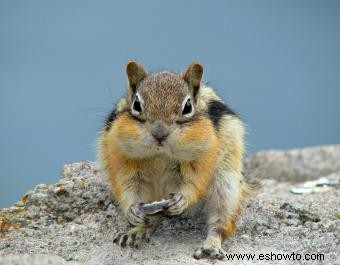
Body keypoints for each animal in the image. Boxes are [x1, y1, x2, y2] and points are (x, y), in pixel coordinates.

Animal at [97, 60, 254, 258]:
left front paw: (182, 200)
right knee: (152, 220)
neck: (160, 154)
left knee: (220, 222)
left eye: (187, 107)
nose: (159, 133)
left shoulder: (204, 155)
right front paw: (133, 211)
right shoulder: (121, 156)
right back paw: (136, 231)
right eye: (137, 105)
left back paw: (210, 245)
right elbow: (126, 185)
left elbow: (195, 182)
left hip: (226, 186)